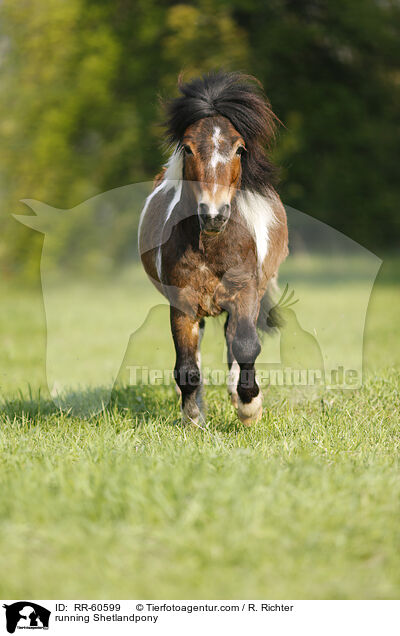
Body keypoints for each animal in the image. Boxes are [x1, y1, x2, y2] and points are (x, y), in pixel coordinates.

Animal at [138, 72, 288, 424]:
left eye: (239, 149)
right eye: (189, 148)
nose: (214, 214)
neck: (213, 246)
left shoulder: (246, 294)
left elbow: (245, 346)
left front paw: (249, 407)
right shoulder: (182, 303)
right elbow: (187, 366)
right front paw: (193, 417)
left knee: (234, 340)